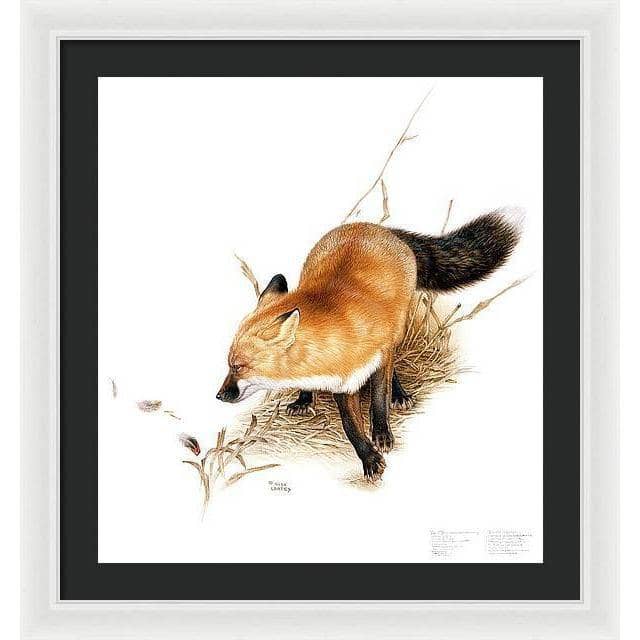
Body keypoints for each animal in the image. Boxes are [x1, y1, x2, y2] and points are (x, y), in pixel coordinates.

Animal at [216, 210, 522, 480]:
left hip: (397, 329)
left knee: (393, 366)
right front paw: (369, 457)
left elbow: (378, 401)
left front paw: (382, 434)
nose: (219, 396)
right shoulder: (342, 380)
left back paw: (400, 394)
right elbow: (351, 426)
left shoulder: (376, 358)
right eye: (230, 365)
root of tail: (375, 227)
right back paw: (304, 399)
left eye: (239, 366)